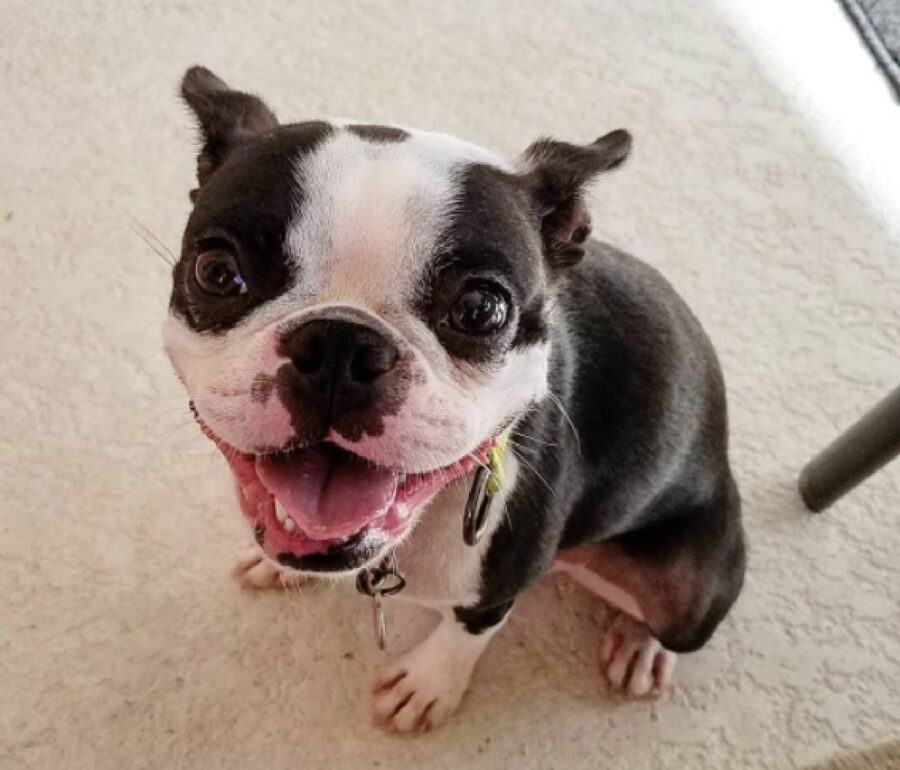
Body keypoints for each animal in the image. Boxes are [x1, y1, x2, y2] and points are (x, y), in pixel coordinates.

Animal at [163, 67, 744, 732]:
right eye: (217, 272)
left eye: (479, 309)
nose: (339, 344)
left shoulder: (497, 584)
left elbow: (467, 633)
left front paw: (429, 683)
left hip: (688, 590)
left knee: (676, 622)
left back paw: (641, 643)